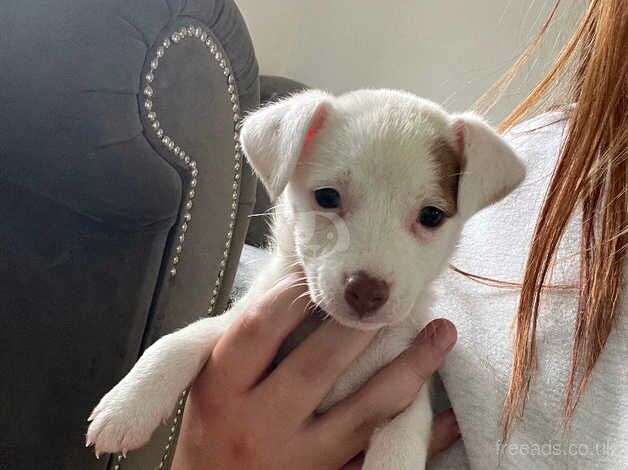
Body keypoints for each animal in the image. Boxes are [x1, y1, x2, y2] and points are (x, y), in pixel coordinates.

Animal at [86, 88, 524, 466]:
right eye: (327, 197)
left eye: (431, 216)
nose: (366, 292)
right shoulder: (237, 323)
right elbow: (182, 340)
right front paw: (129, 405)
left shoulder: (407, 395)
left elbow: (399, 445)